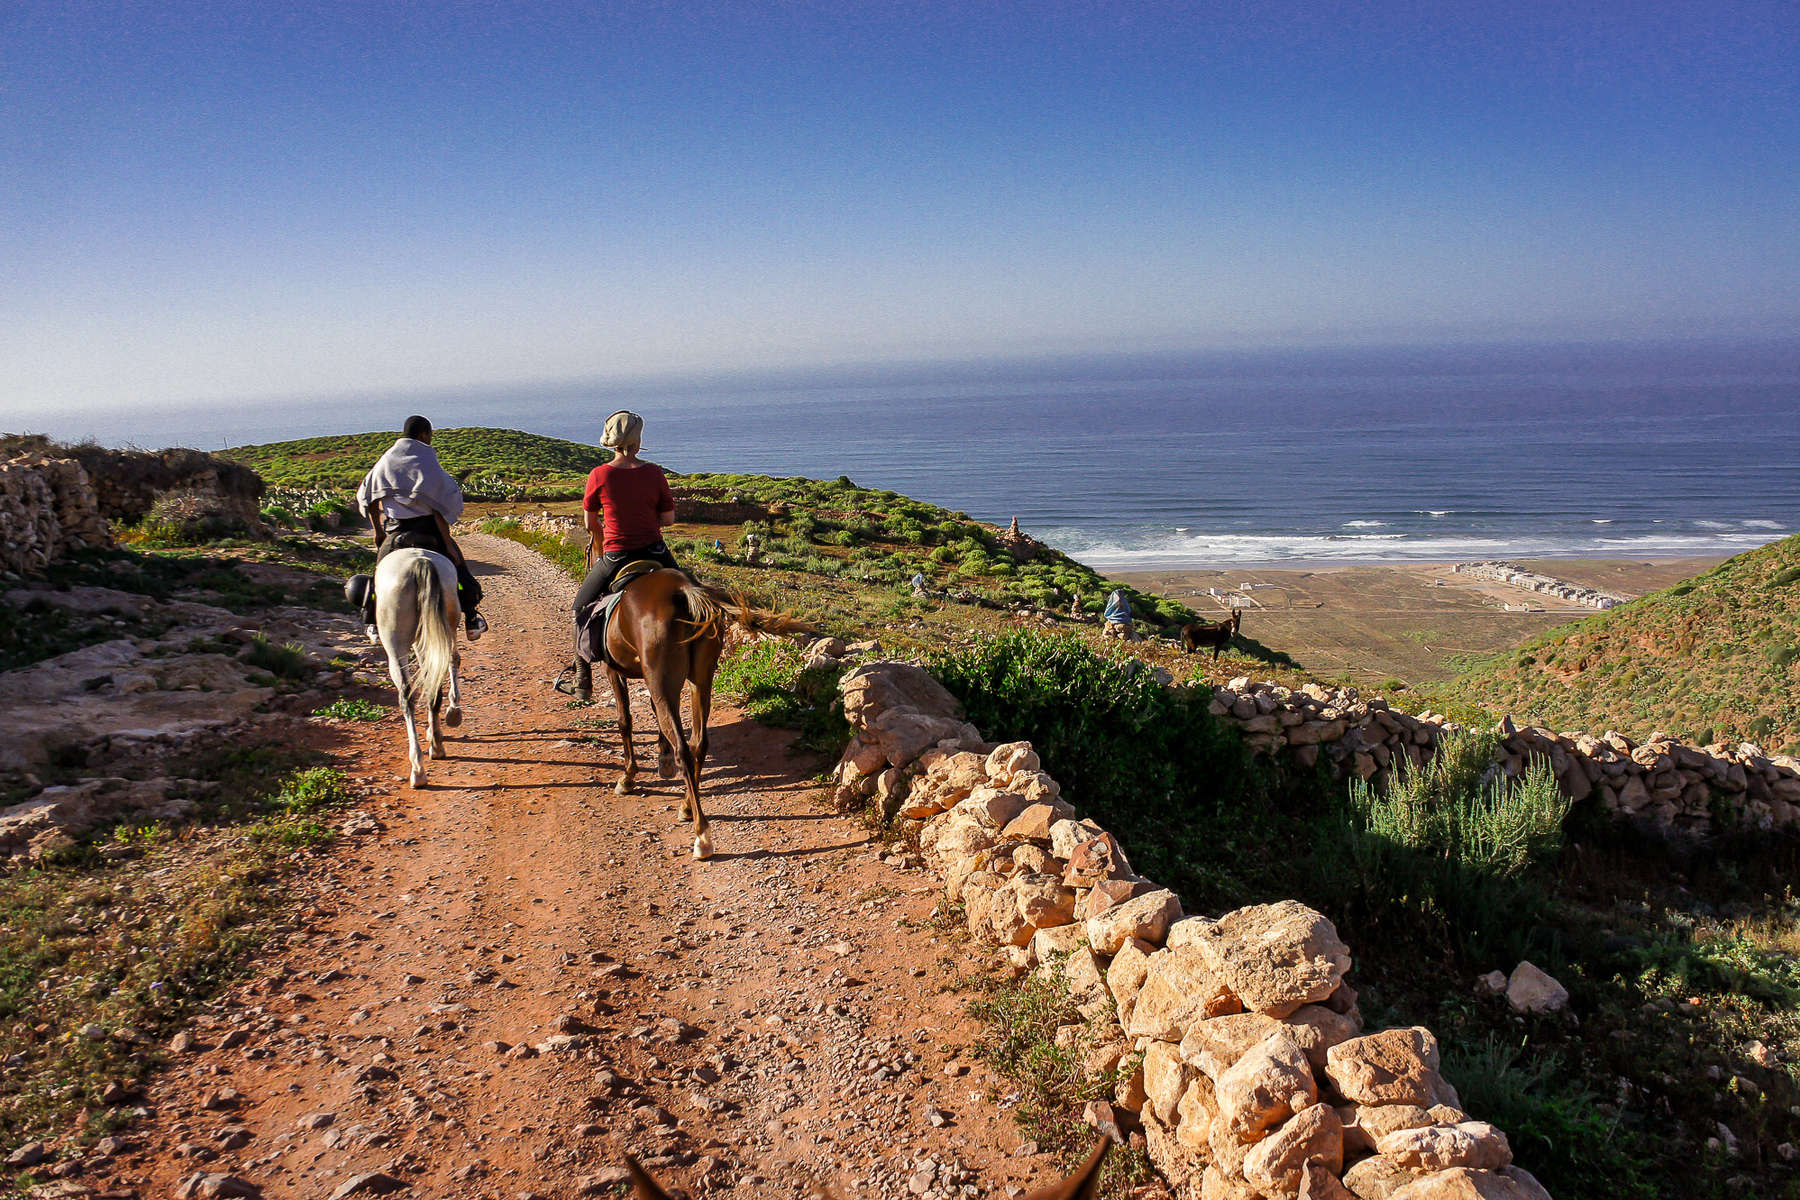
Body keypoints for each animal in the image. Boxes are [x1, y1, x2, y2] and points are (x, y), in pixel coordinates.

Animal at [374, 546, 464, 788]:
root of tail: (419, 563)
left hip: (395, 645)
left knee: (407, 695)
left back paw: (418, 768)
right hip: (445, 627)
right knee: (442, 675)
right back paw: (438, 742)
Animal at [590, 572, 802, 863]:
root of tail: (683, 590)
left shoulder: (613, 670)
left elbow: (625, 721)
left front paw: (628, 777)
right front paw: (663, 759)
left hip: (662, 680)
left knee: (684, 748)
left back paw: (701, 835)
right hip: (699, 680)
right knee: (698, 743)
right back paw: (688, 807)